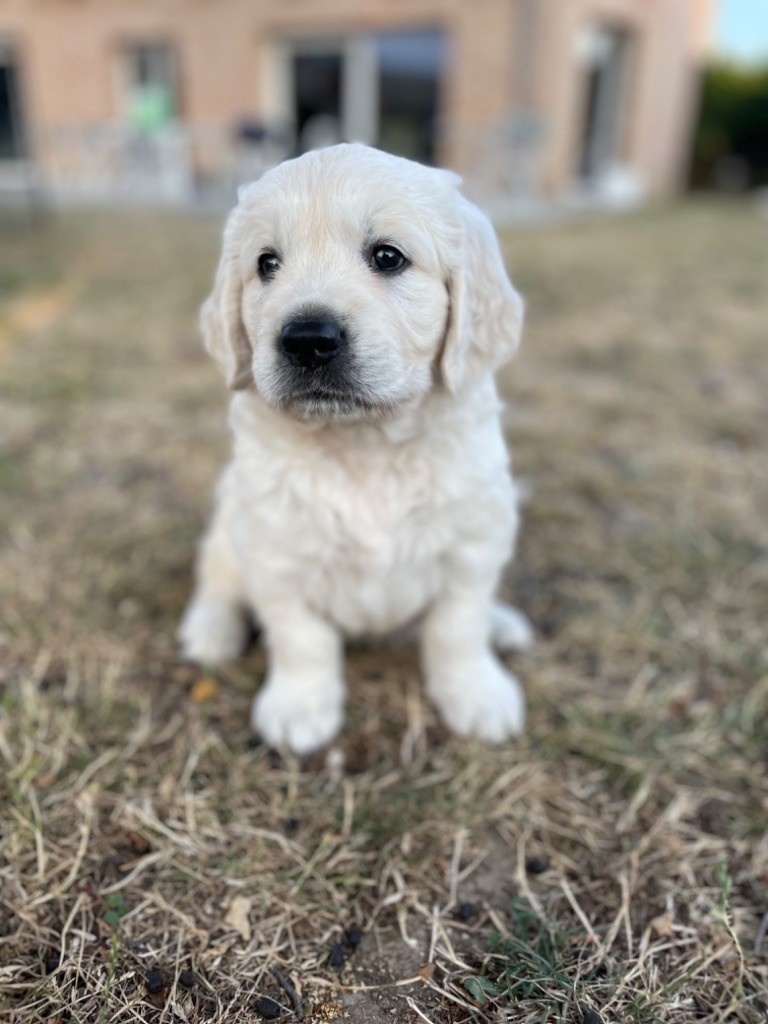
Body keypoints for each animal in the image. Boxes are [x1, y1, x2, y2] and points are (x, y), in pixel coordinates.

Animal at [180, 142, 532, 753]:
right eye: (267, 264)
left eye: (388, 257)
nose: (306, 340)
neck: (365, 444)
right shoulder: (275, 551)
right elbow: (302, 637)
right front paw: (299, 708)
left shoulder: (473, 541)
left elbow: (457, 627)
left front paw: (477, 694)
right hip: (228, 526)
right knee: (218, 581)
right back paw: (210, 630)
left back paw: (503, 623)